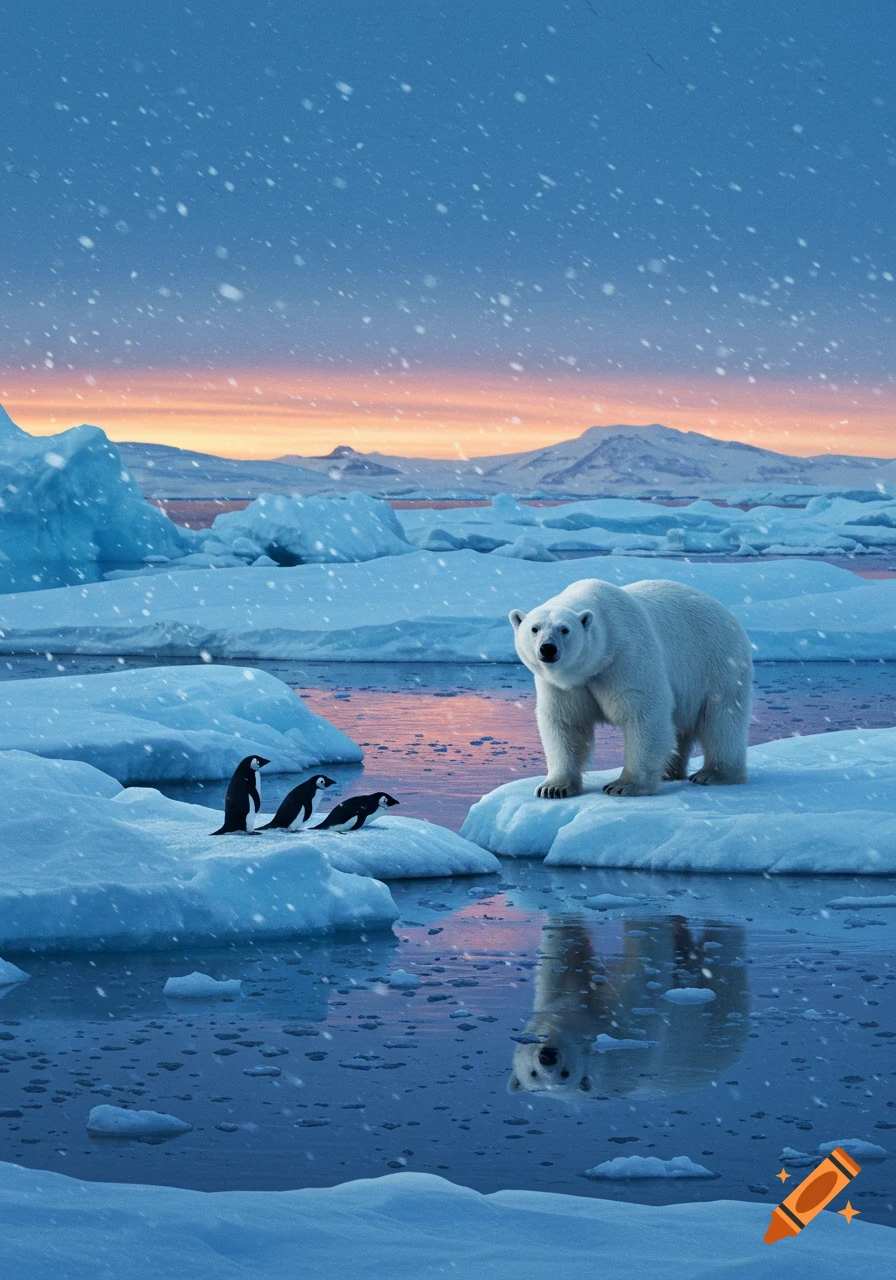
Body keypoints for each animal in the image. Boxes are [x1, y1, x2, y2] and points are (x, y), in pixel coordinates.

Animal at [509, 577, 752, 798]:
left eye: (565, 629)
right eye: (534, 628)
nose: (548, 649)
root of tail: (729, 614)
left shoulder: (627, 656)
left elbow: (643, 714)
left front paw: (624, 786)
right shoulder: (564, 686)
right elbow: (565, 722)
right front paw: (553, 788)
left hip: (718, 662)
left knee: (721, 719)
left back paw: (714, 774)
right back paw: (669, 772)